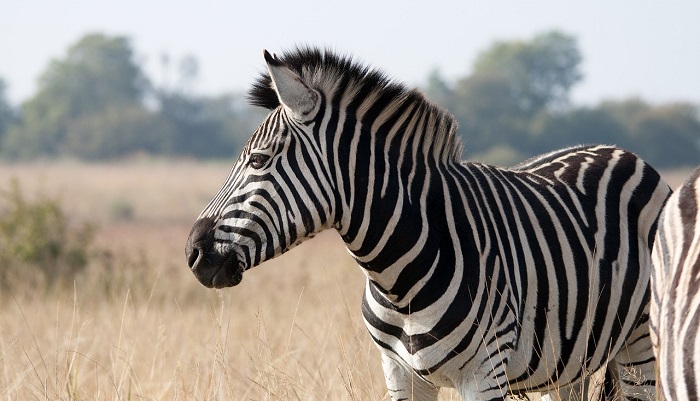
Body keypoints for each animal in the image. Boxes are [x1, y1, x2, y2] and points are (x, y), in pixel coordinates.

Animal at [183, 47, 668, 400]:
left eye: (258, 161)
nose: (192, 252)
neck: (399, 279)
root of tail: (618, 150)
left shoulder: (485, 374)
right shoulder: (400, 373)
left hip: (640, 344)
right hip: (569, 361)